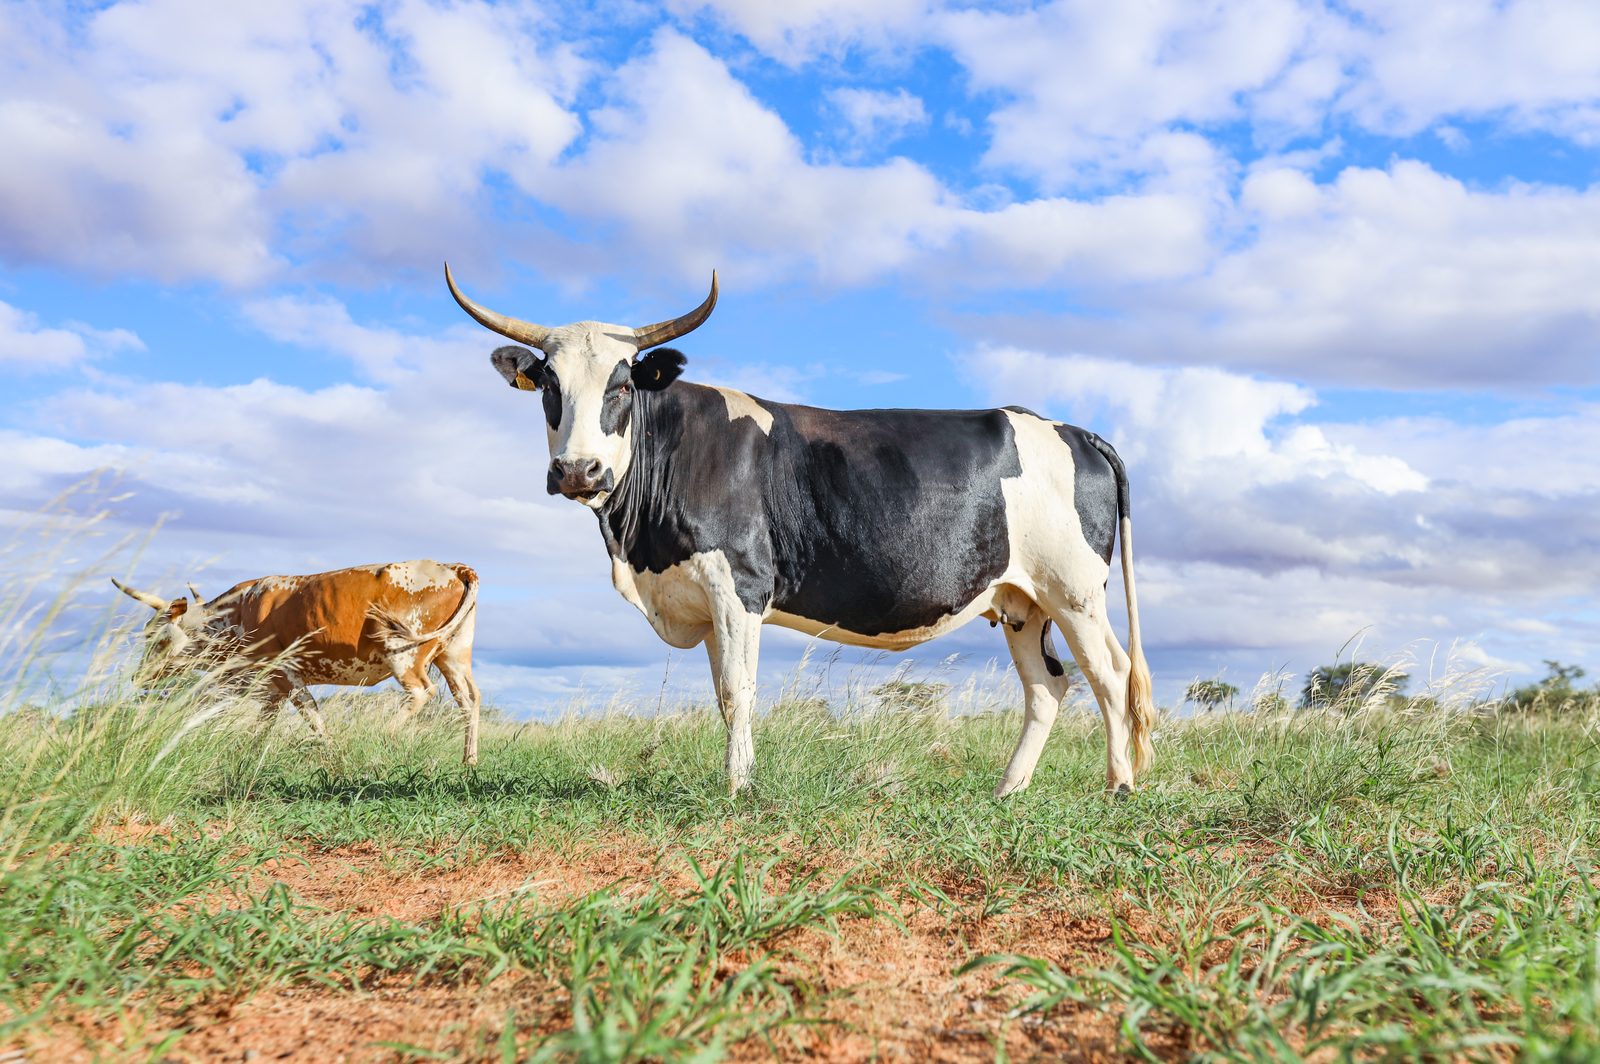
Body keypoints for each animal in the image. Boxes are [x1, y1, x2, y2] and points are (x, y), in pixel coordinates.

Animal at [112, 560, 484, 764]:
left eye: (156, 637)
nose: (138, 678)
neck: (238, 612)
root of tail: (451, 568)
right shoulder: (266, 684)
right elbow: (262, 723)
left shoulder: (284, 673)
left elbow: (312, 716)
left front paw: (334, 752)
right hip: (454, 655)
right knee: (469, 699)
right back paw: (469, 759)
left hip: (403, 651)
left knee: (421, 692)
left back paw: (382, 735)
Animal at [446, 265, 1154, 796]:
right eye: (549, 384)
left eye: (622, 385)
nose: (577, 469)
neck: (637, 543)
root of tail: (1067, 428)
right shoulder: (704, 601)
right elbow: (723, 695)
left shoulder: (740, 585)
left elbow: (739, 692)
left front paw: (738, 788)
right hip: (1021, 600)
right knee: (1048, 687)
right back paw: (1008, 790)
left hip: (1074, 591)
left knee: (1110, 674)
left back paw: (1119, 785)